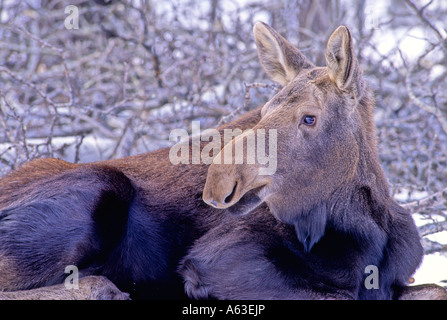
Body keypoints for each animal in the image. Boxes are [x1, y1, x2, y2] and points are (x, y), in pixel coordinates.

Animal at [0, 23, 447, 300]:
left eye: (309, 117)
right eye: (263, 111)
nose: (219, 183)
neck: (366, 228)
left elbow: (432, 288)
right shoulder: (217, 259)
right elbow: (335, 294)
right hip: (99, 188)